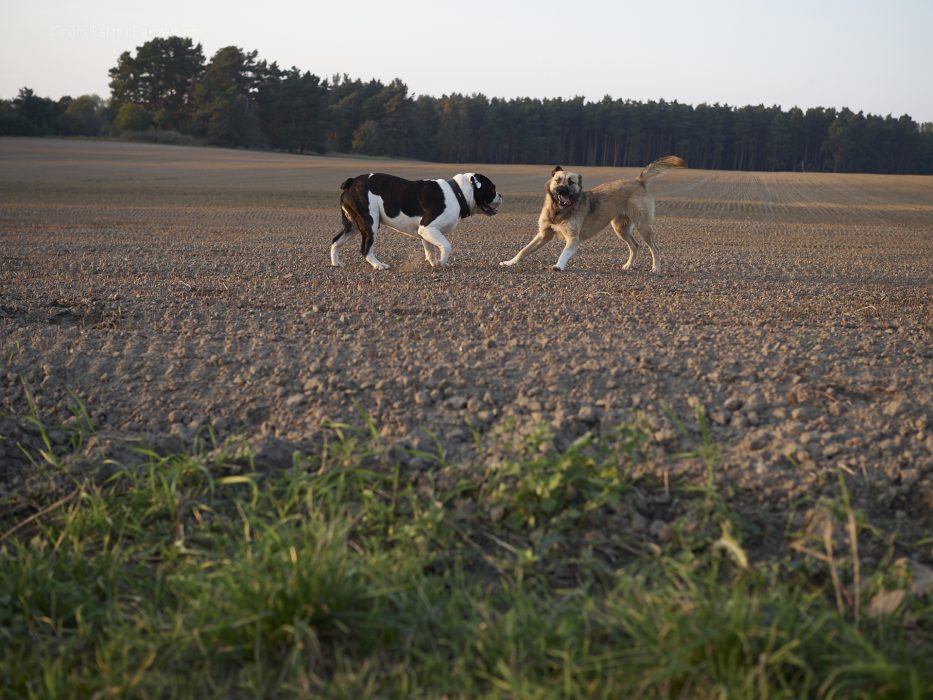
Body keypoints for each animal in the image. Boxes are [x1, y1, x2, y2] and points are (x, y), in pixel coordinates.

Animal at [330, 173, 498, 270]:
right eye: (492, 189)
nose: (500, 195)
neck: (458, 193)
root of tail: (351, 182)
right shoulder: (428, 228)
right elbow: (446, 245)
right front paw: (443, 261)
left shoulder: (426, 233)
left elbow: (430, 250)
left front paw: (435, 263)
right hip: (370, 223)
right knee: (366, 248)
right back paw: (379, 265)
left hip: (352, 226)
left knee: (336, 241)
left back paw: (336, 263)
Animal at [502, 156, 684, 274]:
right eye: (558, 180)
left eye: (571, 182)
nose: (561, 190)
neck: (560, 211)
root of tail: (638, 181)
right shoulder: (543, 235)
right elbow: (523, 250)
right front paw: (509, 262)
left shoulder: (572, 238)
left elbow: (564, 253)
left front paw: (559, 266)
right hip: (620, 228)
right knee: (635, 246)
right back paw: (628, 266)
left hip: (642, 226)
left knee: (655, 248)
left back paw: (656, 268)